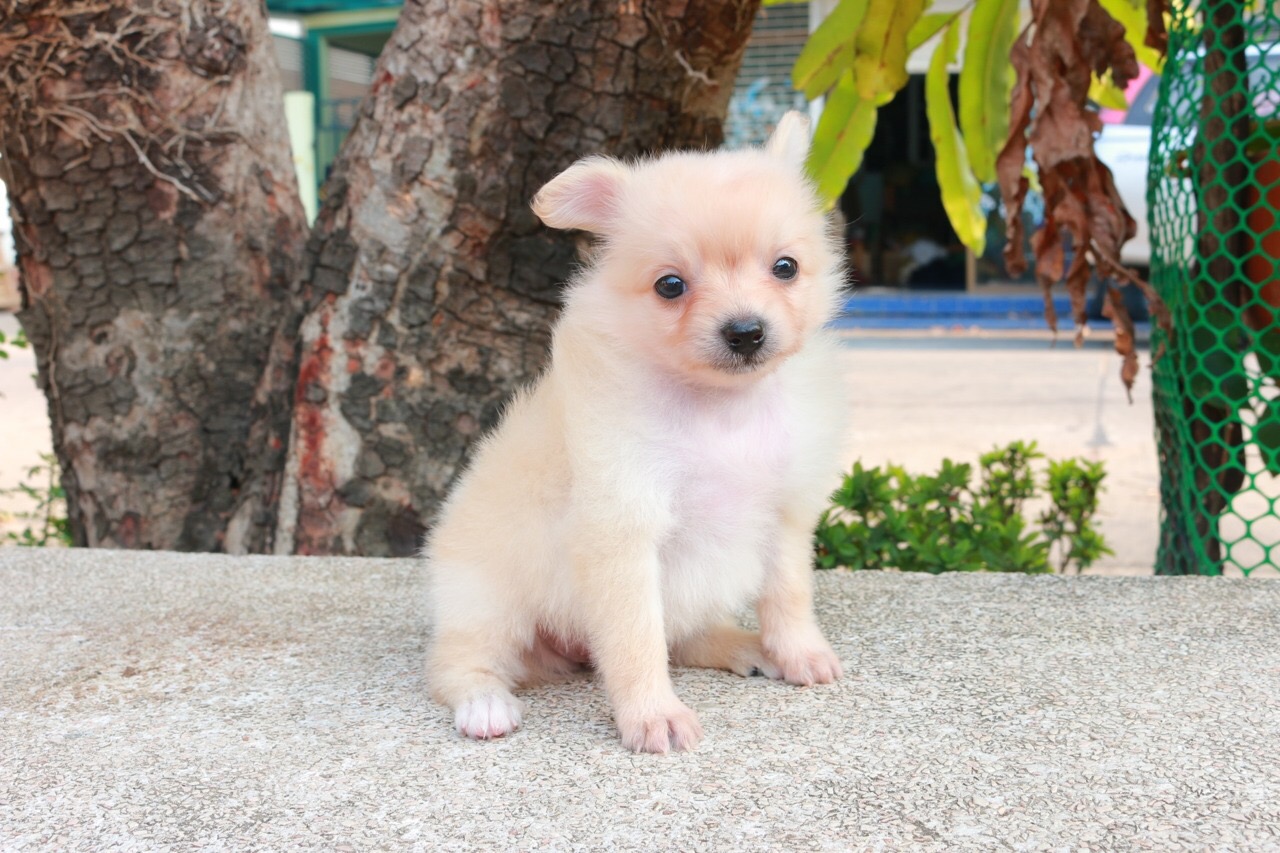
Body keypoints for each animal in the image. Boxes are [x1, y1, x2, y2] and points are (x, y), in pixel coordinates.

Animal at [424, 111, 848, 753]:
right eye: (669, 286)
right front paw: (653, 714)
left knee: (686, 637)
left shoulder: (784, 514)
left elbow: (788, 594)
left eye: (786, 268)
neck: (720, 408)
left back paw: (742, 645)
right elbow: (635, 638)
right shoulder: (623, 531)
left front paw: (801, 652)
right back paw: (484, 703)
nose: (745, 332)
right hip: (485, 599)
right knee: (460, 660)